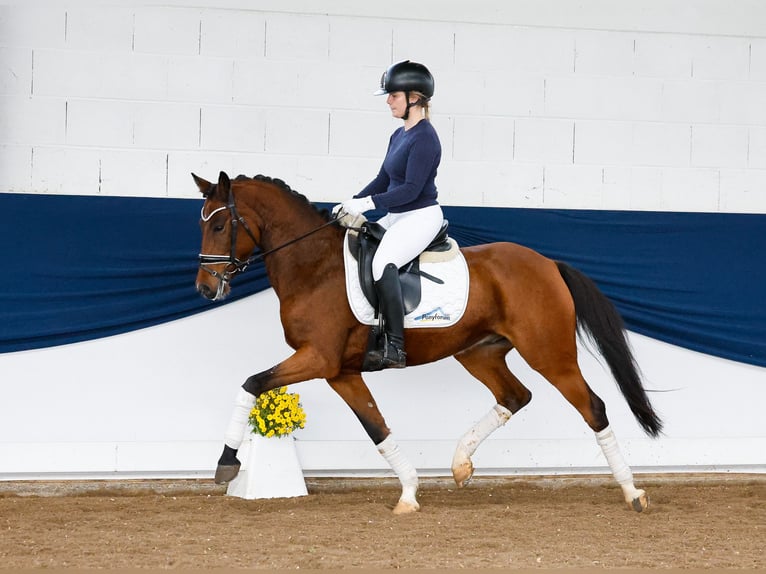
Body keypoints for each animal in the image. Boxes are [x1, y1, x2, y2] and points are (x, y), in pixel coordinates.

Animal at [195, 171, 664, 516]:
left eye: (219, 225)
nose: (204, 287)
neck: (314, 267)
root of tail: (548, 263)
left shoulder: (317, 358)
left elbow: (252, 383)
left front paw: (227, 464)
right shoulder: (340, 371)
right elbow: (376, 427)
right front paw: (408, 492)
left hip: (550, 355)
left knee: (593, 408)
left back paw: (632, 492)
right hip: (478, 352)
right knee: (515, 395)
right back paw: (460, 465)